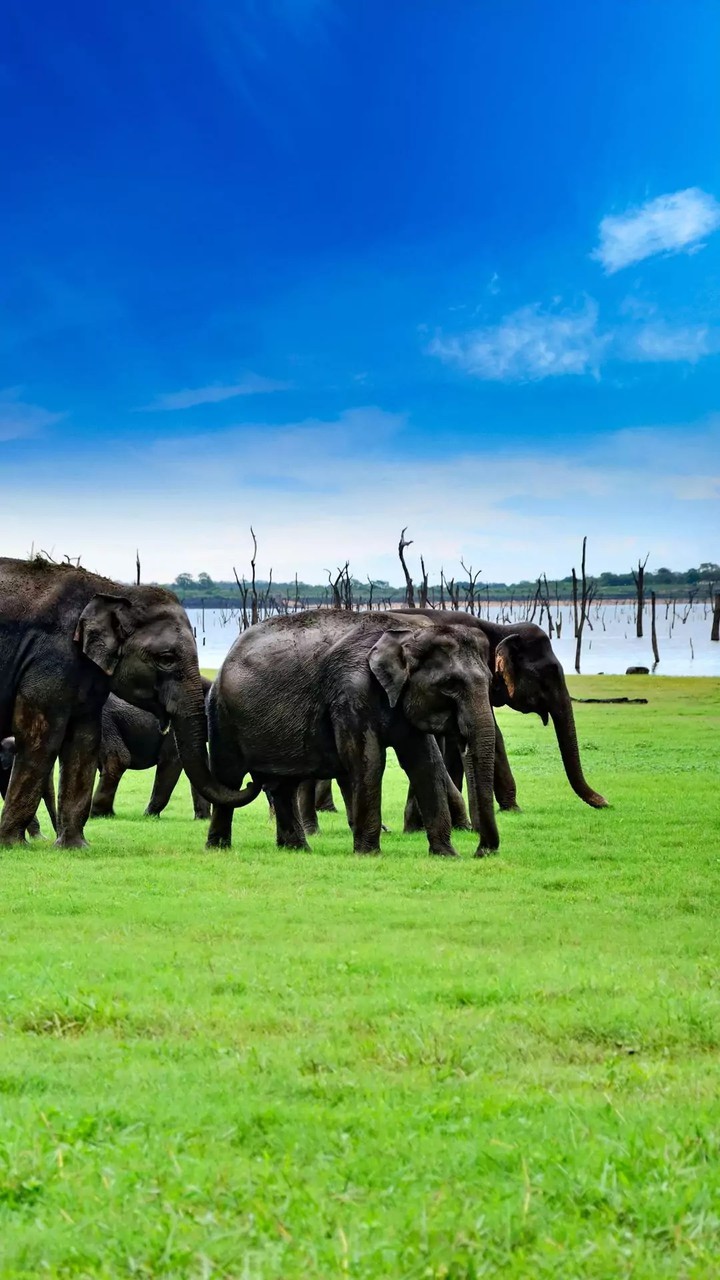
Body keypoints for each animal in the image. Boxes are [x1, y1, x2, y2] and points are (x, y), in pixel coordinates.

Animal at [206, 609, 499, 858]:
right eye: (450, 685)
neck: (406, 634)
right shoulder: (351, 691)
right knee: (230, 778)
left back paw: (298, 849)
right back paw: (219, 848)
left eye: (489, 681)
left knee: (283, 785)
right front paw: (369, 854)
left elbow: (425, 763)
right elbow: (368, 761)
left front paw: (447, 855)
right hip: (222, 715)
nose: (481, 851)